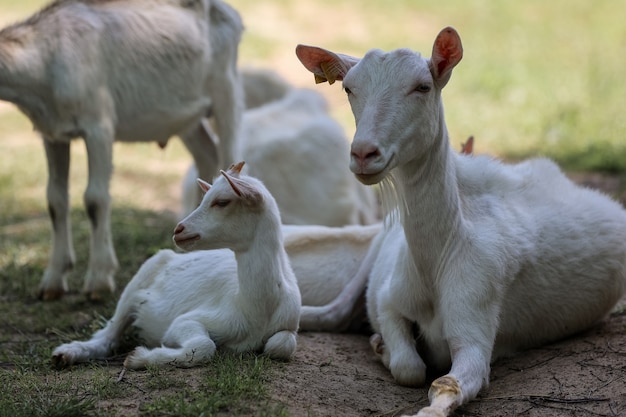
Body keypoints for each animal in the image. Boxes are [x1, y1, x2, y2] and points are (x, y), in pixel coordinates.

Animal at [0, 0, 244, 300]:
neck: (47, 58)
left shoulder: (99, 125)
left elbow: (95, 198)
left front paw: (98, 281)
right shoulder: (52, 134)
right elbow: (55, 200)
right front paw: (52, 283)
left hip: (227, 91)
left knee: (228, 152)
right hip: (186, 116)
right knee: (206, 153)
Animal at [51, 162, 300, 368]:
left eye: (222, 201)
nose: (179, 229)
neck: (256, 308)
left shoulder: (288, 327)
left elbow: (281, 345)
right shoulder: (186, 321)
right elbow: (203, 345)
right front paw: (138, 357)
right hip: (140, 278)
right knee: (110, 333)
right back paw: (68, 353)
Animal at [294, 26, 624, 416]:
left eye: (422, 86)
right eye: (348, 88)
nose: (363, 153)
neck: (437, 259)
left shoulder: (477, 312)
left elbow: (445, 379)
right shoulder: (391, 296)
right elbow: (408, 364)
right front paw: (383, 346)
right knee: (334, 311)